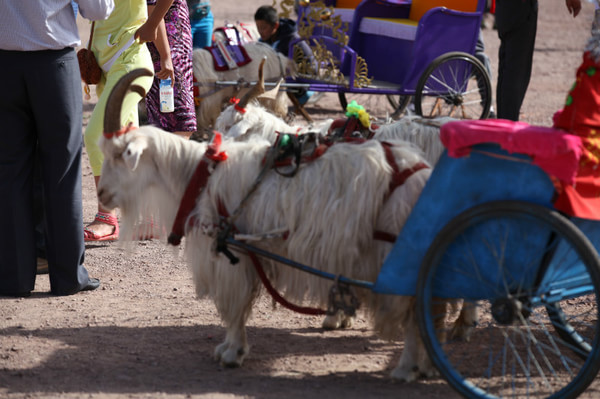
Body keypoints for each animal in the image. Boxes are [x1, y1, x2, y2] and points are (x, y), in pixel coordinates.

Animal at [97, 70, 440, 382]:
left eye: (118, 155)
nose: (100, 193)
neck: (199, 177)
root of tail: (421, 177)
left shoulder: (231, 254)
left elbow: (235, 308)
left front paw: (231, 352)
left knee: (414, 311)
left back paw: (407, 368)